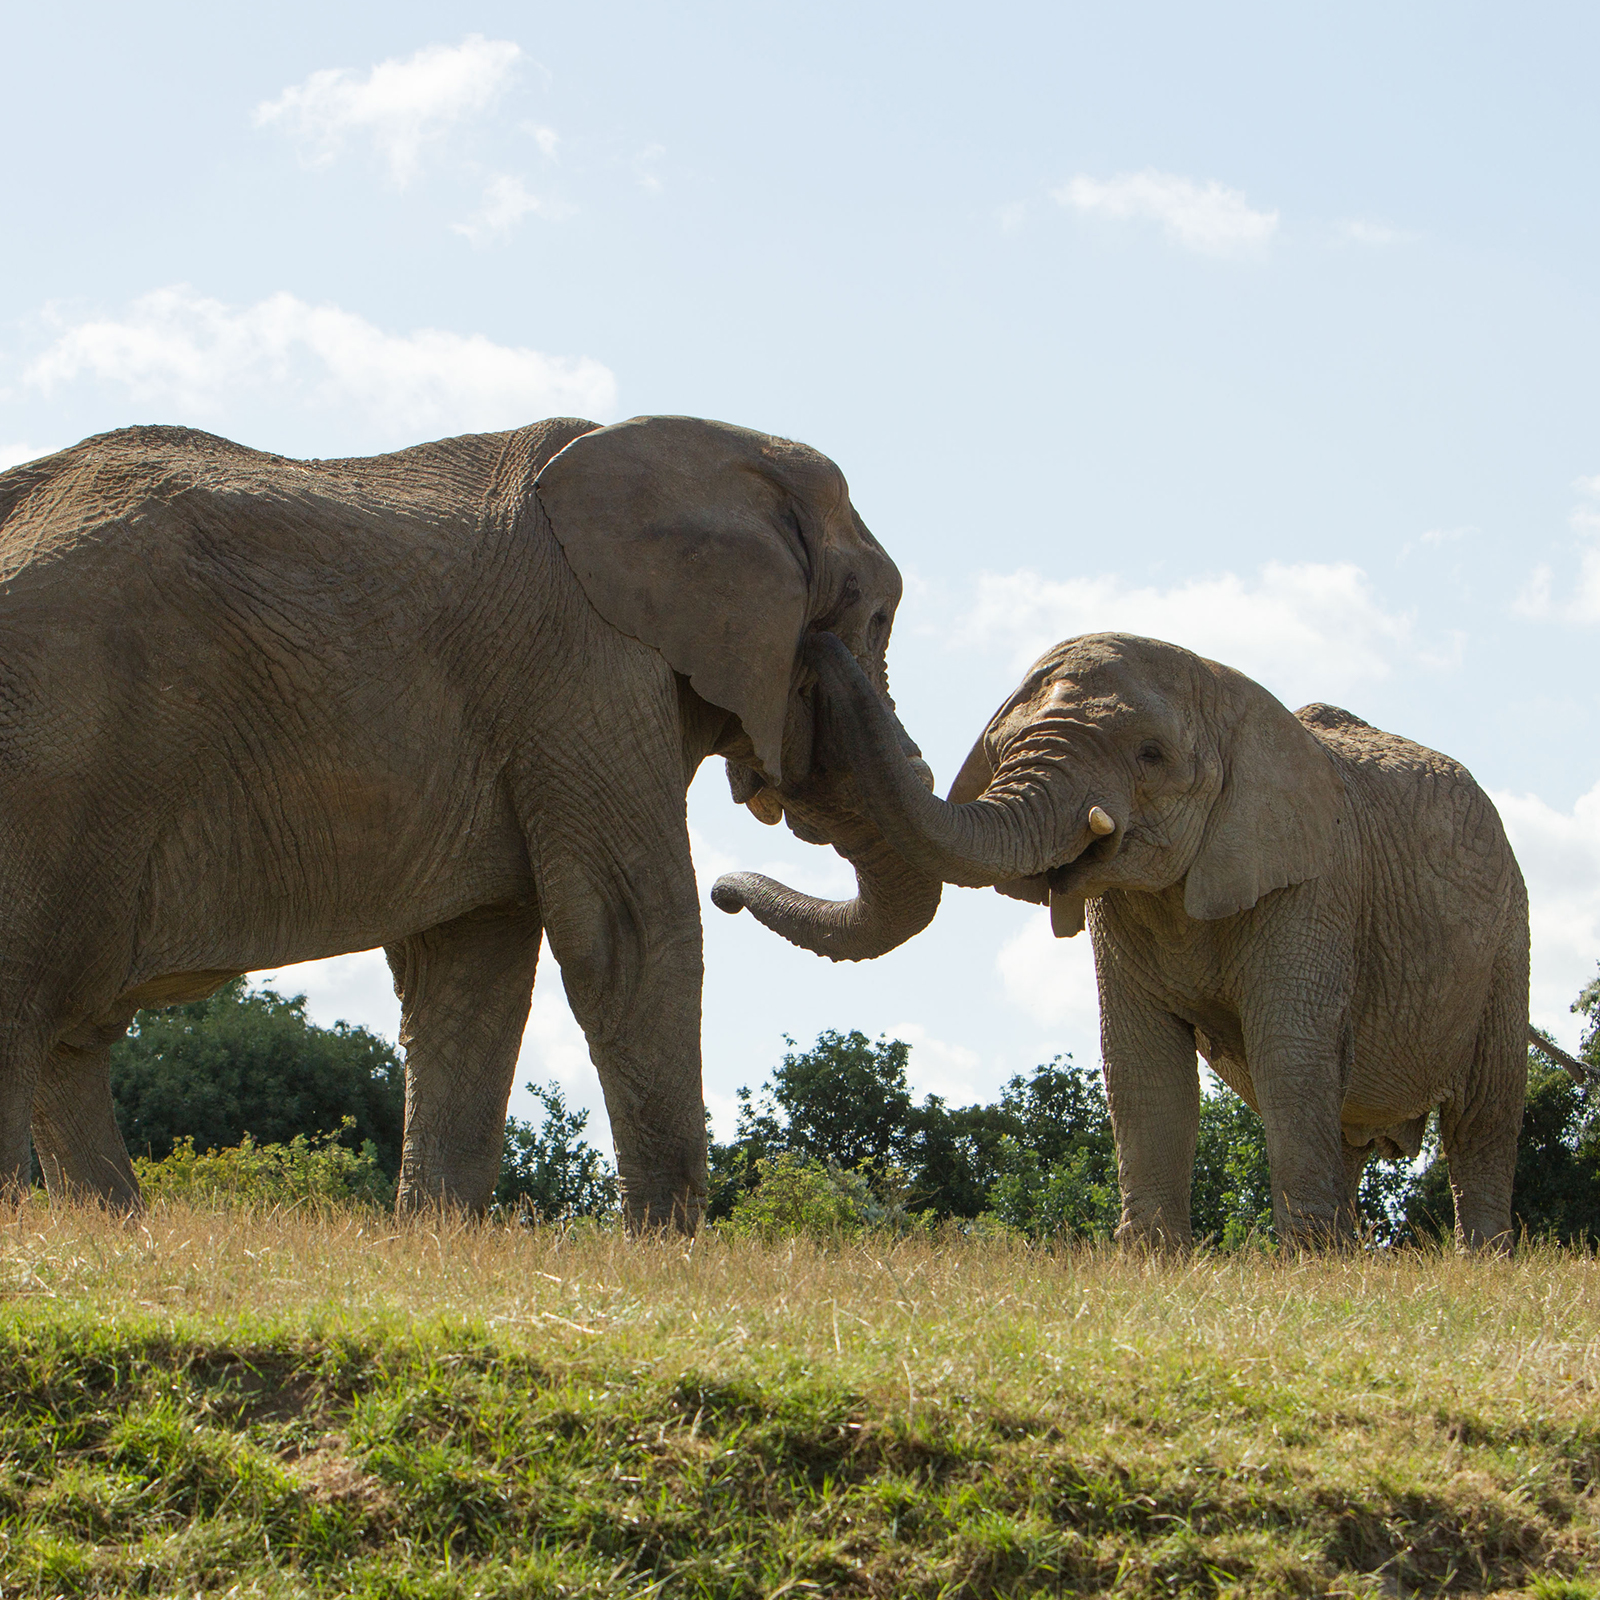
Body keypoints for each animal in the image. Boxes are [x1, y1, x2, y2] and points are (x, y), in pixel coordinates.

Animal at [0, 415, 941, 1228]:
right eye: (877, 616)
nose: (731, 890)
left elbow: (471, 970)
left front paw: (438, 1240)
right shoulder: (587, 668)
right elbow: (629, 935)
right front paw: (664, 1254)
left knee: (70, 1027)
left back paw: (115, 1227)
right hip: (61, 749)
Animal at [719, 628, 1533, 1249]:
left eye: (1150, 755)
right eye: (1000, 746)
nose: (723, 893)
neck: (1229, 689)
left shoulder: (1316, 884)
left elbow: (1289, 1055)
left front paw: (1310, 1271)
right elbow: (1143, 1067)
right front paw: (1153, 1264)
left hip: (1508, 937)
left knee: (1483, 1113)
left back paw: (1475, 1262)